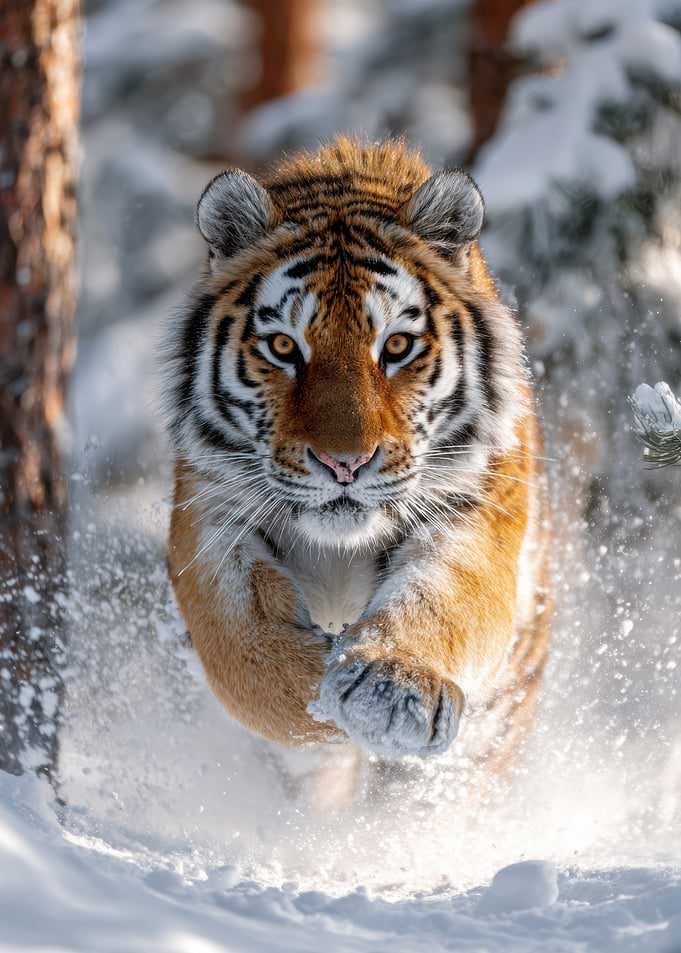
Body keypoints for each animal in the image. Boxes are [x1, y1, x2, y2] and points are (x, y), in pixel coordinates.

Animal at [163, 137, 551, 762]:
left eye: (396, 346)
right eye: (282, 346)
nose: (343, 463)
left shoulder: (477, 508)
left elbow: (442, 599)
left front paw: (389, 692)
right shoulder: (209, 512)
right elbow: (240, 647)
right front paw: (321, 695)